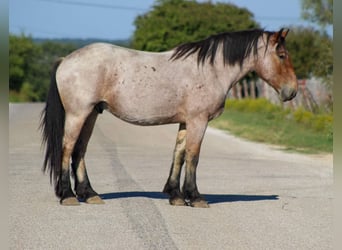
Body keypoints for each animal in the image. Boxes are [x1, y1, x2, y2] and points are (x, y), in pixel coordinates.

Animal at [40, 27, 296, 207]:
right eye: (282, 55)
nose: (291, 92)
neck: (211, 70)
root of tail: (66, 60)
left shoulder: (185, 122)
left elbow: (178, 155)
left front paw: (176, 195)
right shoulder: (198, 121)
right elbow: (193, 156)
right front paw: (195, 197)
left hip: (91, 114)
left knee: (79, 151)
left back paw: (89, 194)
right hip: (78, 114)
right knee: (67, 149)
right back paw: (68, 195)